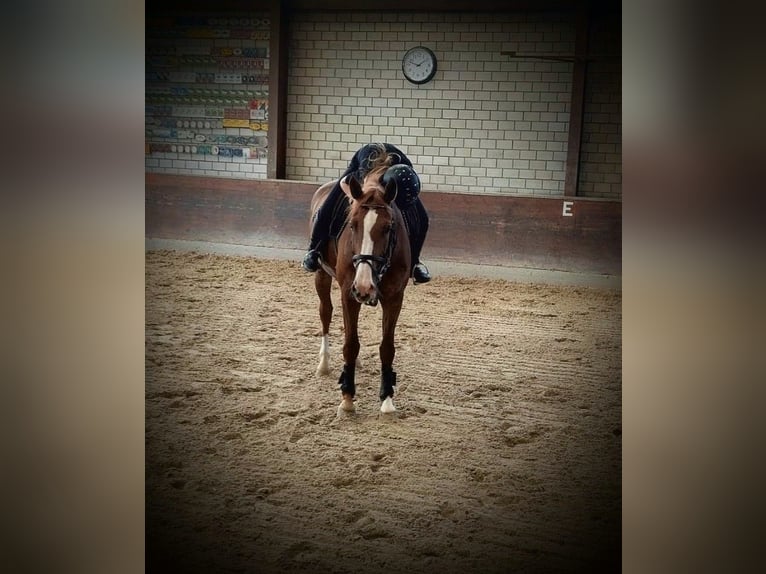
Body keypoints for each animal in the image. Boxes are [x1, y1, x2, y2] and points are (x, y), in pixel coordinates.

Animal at [310, 168, 412, 413]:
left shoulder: (395, 298)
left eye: (388, 227)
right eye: (352, 225)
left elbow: (387, 348)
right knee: (326, 313)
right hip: (322, 275)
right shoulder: (349, 294)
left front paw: (387, 399)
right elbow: (350, 345)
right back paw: (324, 363)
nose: (364, 285)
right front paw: (347, 397)